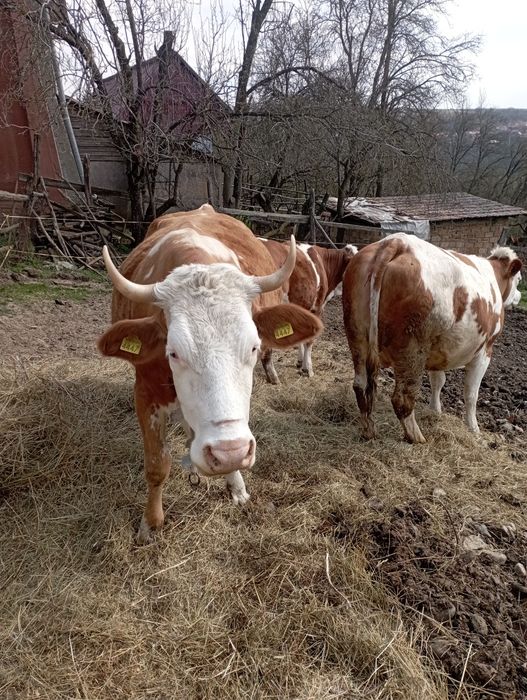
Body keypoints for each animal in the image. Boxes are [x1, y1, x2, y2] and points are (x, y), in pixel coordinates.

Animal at [97, 204, 323, 542]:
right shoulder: (145, 394)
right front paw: (150, 524)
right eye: (174, 352)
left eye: (254, 347)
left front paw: (236, 483)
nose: (229, 453)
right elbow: (156, 465)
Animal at [342, 233, 522, 444]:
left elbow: (438, 381)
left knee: (360, 386)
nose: (519, 296)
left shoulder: (438, 349)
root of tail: (396, 241)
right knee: (402, 398)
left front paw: (435, 411)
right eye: (519, 279)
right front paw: (473, 428)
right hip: (412, 349)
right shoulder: (485, 350)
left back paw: (368, 431)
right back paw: (417, 437)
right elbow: (471, 393)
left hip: (357, 336)